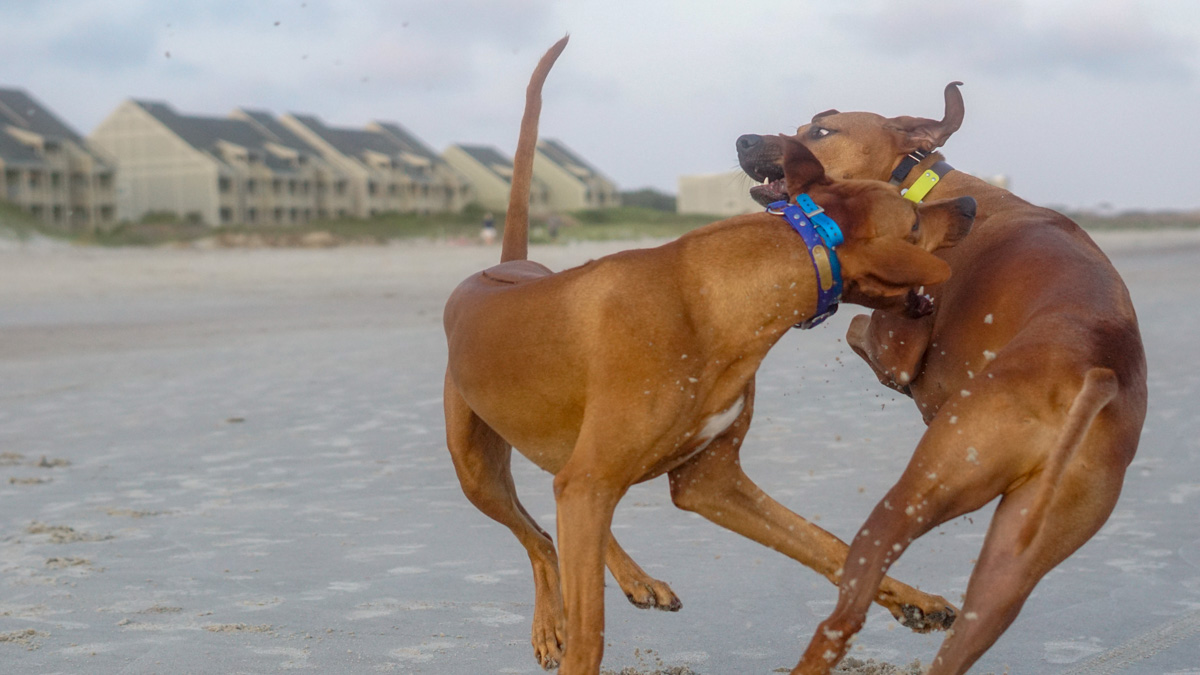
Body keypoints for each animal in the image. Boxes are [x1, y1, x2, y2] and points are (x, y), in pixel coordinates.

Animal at [441, 39, 974, 667]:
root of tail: (502, 268)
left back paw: (632, 580)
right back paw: (552, 623)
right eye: (914, 220)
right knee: (539, 537)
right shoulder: (594, 483)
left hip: (564, 457)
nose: (969, 204)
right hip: (478, 471)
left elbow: (830, 545)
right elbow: (589, 628)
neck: (713, 297)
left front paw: (914, 600)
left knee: (560, 523)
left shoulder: (709, 482)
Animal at [734, 82, 1147, 667]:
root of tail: (1096, 372)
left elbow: (861, 332)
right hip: (1014, 563)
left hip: (912, 496)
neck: (918, 180)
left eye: (820, 131)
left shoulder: (896, 343)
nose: (743, 140)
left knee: (845, 616)